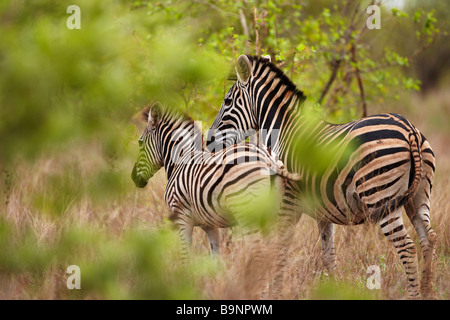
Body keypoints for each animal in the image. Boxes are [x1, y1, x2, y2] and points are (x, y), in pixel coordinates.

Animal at [130, 102, 298, 296]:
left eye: (140, 143)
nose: (134, 178)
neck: (181, 161)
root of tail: (269, 161)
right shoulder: (209, 224)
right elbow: (214, 259)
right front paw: (210, 287)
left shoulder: (182, 217)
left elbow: (185, 256)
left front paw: (186, 287)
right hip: (272, 214)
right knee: (275, 251)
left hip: (248, 213)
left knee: (259, 252)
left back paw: (257, 292)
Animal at [207, 53, 436, 298]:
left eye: (227, 101)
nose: (209, 141)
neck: (283, 130)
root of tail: (409, 129)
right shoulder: (324, 212)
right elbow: (329, 257)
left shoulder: (288, 201)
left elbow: (280, 249)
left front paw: (275, 292)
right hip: (418, 197)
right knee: (428, 239)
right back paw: (428, 292)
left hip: (380, 196)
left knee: (407, 247)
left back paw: (414, 294)